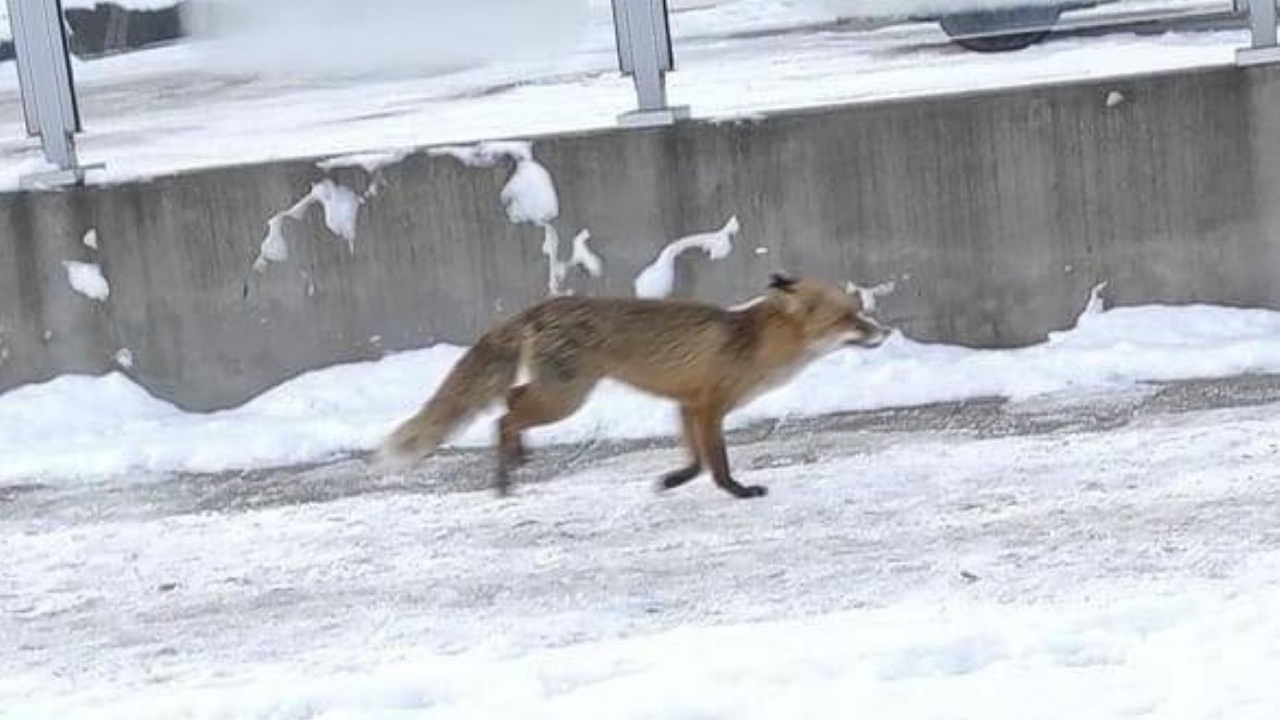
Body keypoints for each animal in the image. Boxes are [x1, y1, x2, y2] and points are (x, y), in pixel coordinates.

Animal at [373, 271, 885, 497]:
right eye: (847, 319)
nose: (882, 331)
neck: (754, 343)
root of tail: (541, 307)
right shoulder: (708, 406)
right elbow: (716, 462)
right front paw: (737, 490)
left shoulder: (686, 405)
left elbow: (695, 461)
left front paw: (673, 479)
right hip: (566, 398)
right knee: (504, 415)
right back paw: (504, 477)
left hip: (559, 393)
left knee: (508, 401)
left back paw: (519, 456)